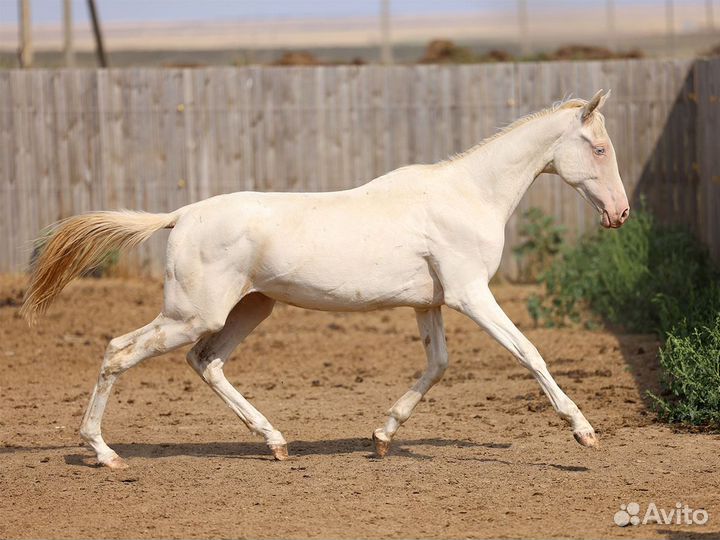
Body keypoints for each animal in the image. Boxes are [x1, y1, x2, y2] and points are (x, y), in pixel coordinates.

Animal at [22, 88, 628, 468]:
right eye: (599, 148)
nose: (619, 214)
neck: (468, 194)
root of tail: (182, 215)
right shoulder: (470, 295)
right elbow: (530, 353)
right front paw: (584, 433)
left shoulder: (429, 304)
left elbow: (437, 365)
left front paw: (382, 437)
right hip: (192, 313)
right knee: (119, 351)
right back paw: (104, 454)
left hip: (249, 308)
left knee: (206, 362)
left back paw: (275, 443)